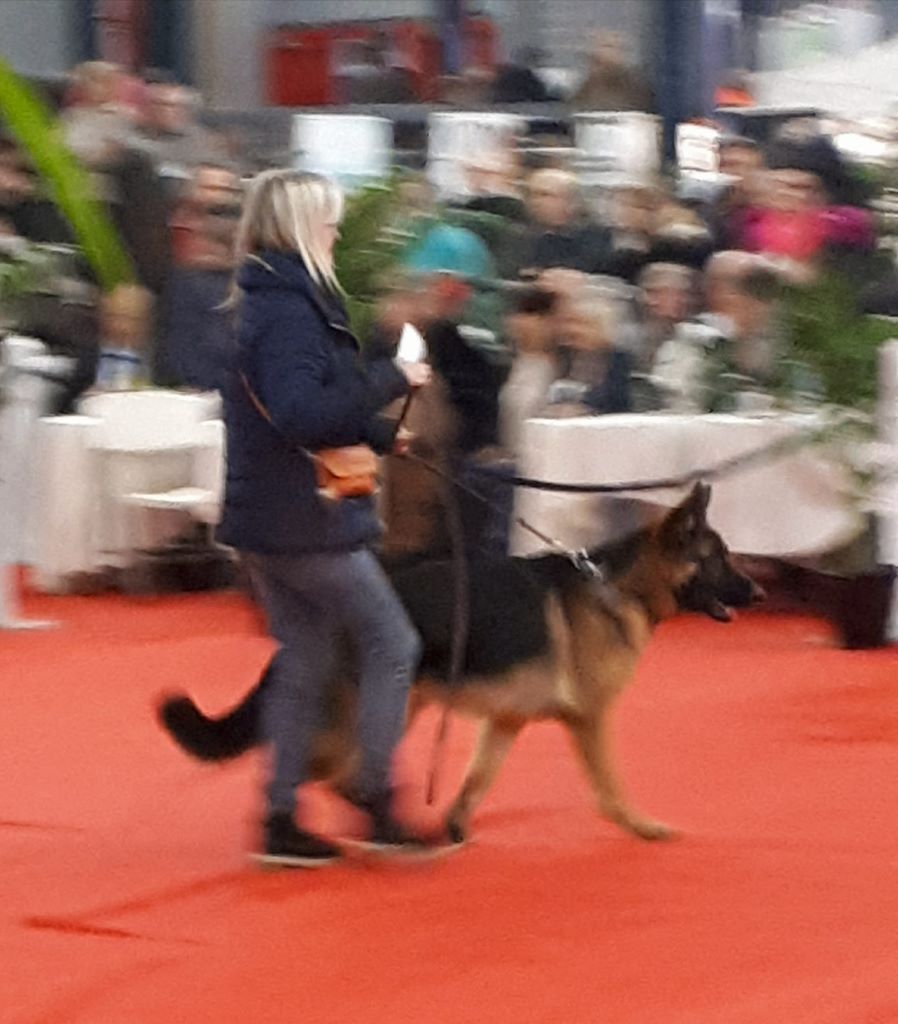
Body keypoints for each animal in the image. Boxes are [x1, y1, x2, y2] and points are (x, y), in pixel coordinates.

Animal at [157, 483, 761, 843]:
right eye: (719, 558)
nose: (756, 591)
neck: (619, 587)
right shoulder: (590, 720)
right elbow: (611, 786)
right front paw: (641, 826)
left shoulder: (507, 720)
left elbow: (478, 778)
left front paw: (455, 826)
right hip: (383, 711)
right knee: (323, 768)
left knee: (316, 765)